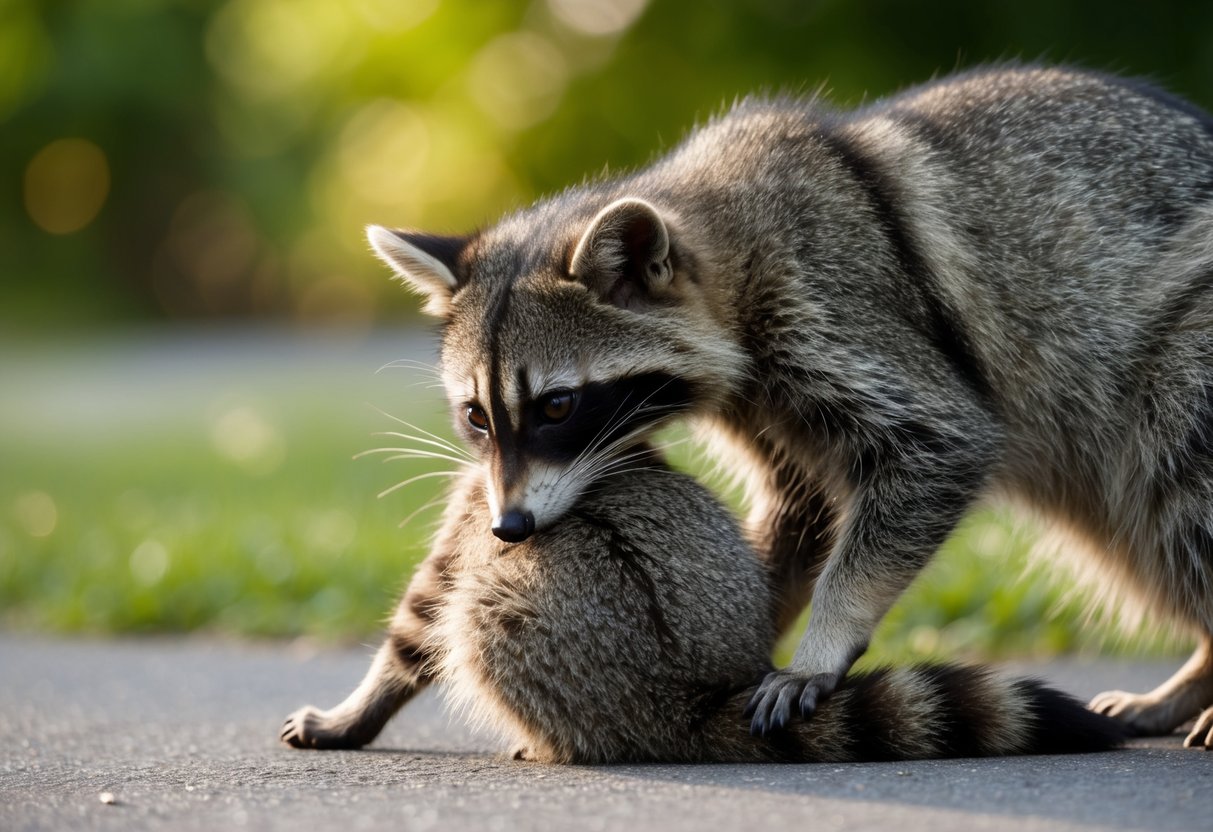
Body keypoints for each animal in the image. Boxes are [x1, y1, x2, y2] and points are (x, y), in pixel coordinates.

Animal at [281, 458, 1123, 762]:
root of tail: (686, 693)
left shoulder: (480, 514)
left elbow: (422, 616)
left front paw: (354, 711)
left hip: (547, 621)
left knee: (478, 606)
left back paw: (557, 744)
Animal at [363, 64, 1213, 745]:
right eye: (477, 415)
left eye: (556, 405)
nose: (509, 527)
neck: (724, 235)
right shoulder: (765, 401)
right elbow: (799, 512)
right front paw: (731, 644)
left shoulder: (834, 297)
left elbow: (942, 440)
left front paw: (827, 633)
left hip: (1180, 354)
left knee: (1183, 480)